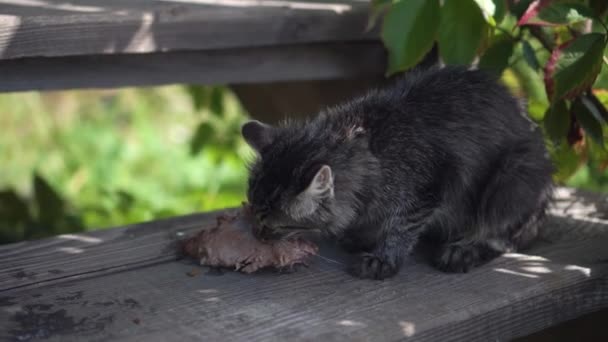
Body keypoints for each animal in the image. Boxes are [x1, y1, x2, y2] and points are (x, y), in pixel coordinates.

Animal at [240, 65, 552, 280]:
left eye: (274, 225)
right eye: (252, 210)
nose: (256, 234)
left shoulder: (431, 186)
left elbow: (402, 227)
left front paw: (384, 258)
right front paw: (363, 235)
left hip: (512, 178)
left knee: (504, 235)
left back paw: (464, 249)